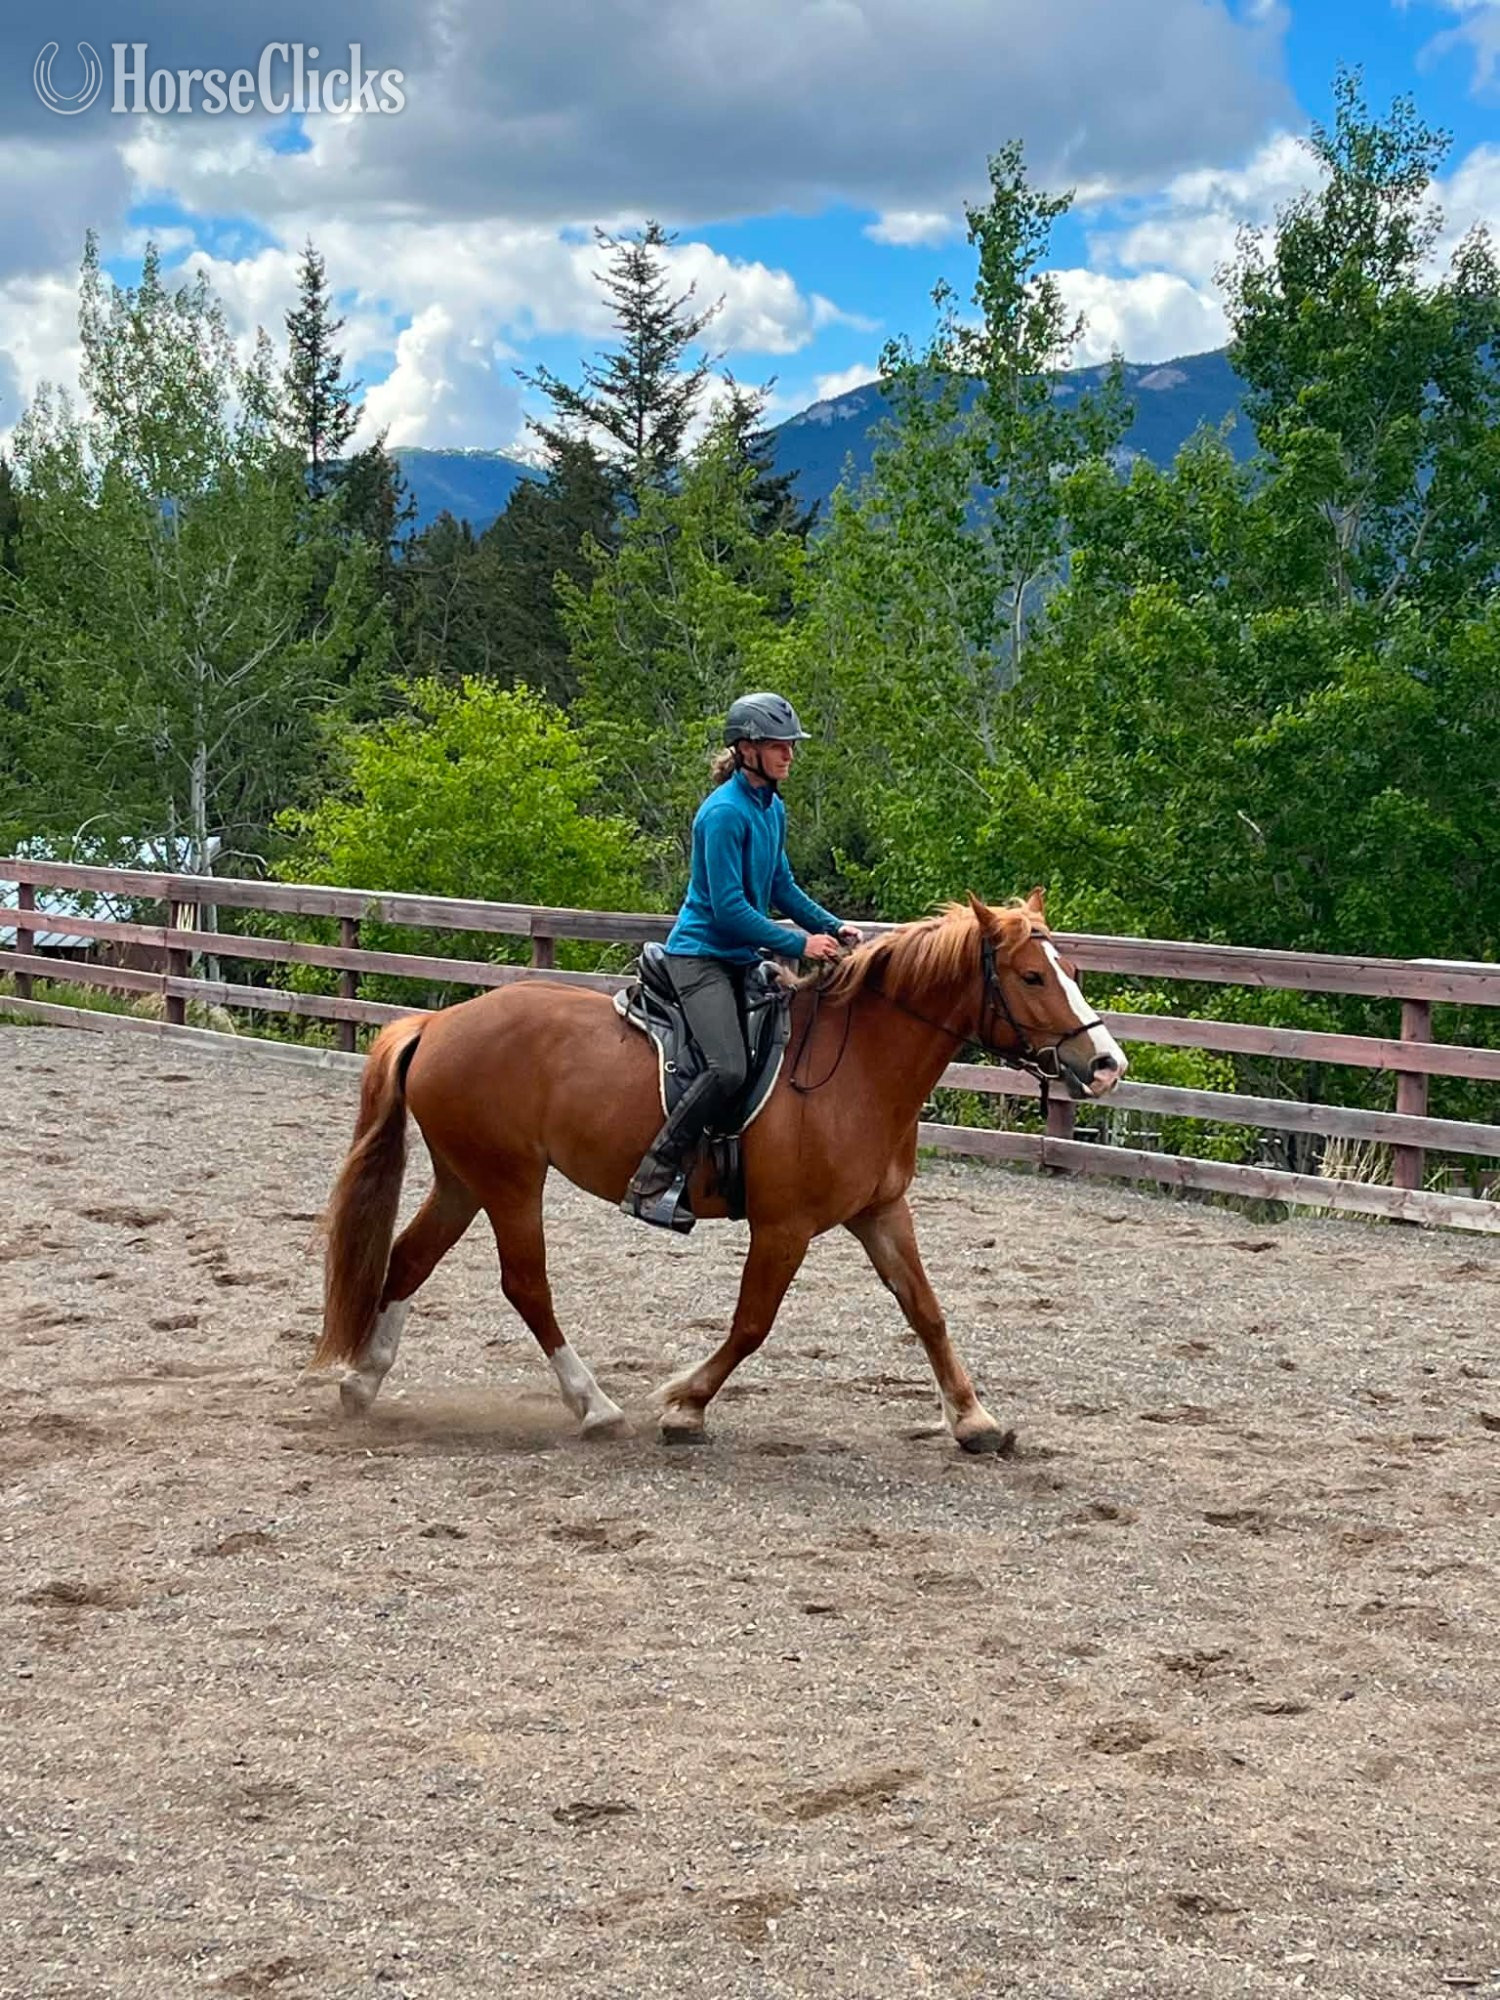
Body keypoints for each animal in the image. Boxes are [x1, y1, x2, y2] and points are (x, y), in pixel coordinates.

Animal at [311, 888, 1127, 1451]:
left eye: (1069, 968)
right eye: (1031, 977)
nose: (1106, 1064)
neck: (860, 1068)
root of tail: (438, 1023)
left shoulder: (880, 1213)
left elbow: (926, 1311)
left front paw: (975, 1420)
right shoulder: (784, 1227)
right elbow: (751, 1324)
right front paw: (684, 1404)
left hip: (466, 1177)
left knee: (409, 1259)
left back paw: (363, 1381)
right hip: (511, 1181)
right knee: (526, 1286)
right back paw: (595, 1406)